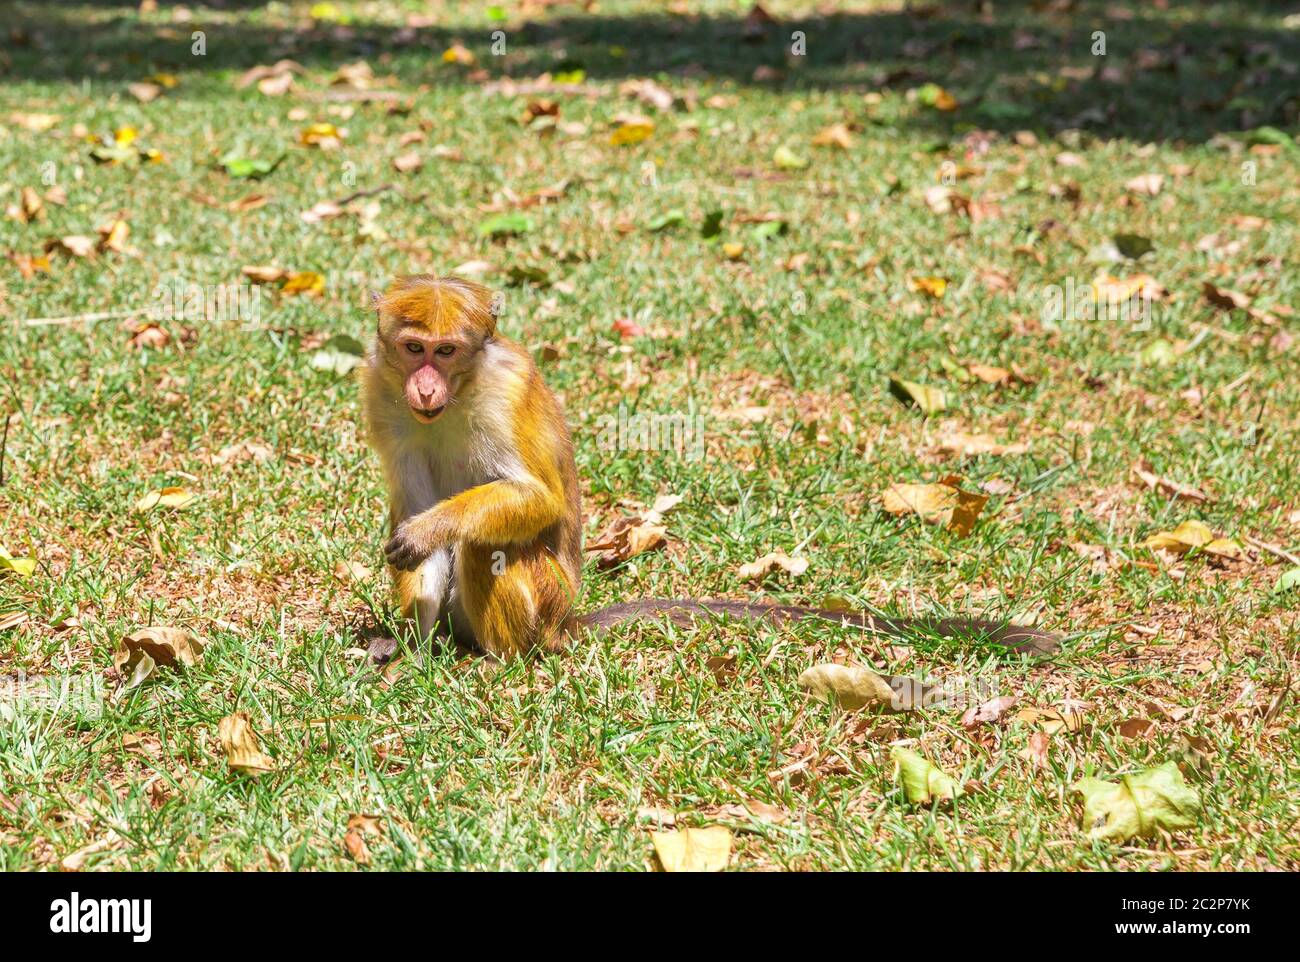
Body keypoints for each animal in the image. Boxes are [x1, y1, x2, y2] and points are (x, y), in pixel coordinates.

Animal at [361, 275, 1060, 663]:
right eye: (413, 348)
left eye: (447, 351)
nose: (425, 385)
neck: (460, 393)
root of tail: (566, 622)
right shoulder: (379, 389)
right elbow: (410, 505)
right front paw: (408, 650)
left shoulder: (506, 390)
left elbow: (537, 502)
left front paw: (432, 530)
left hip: (548, 602)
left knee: (486, 543)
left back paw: (501, 662)